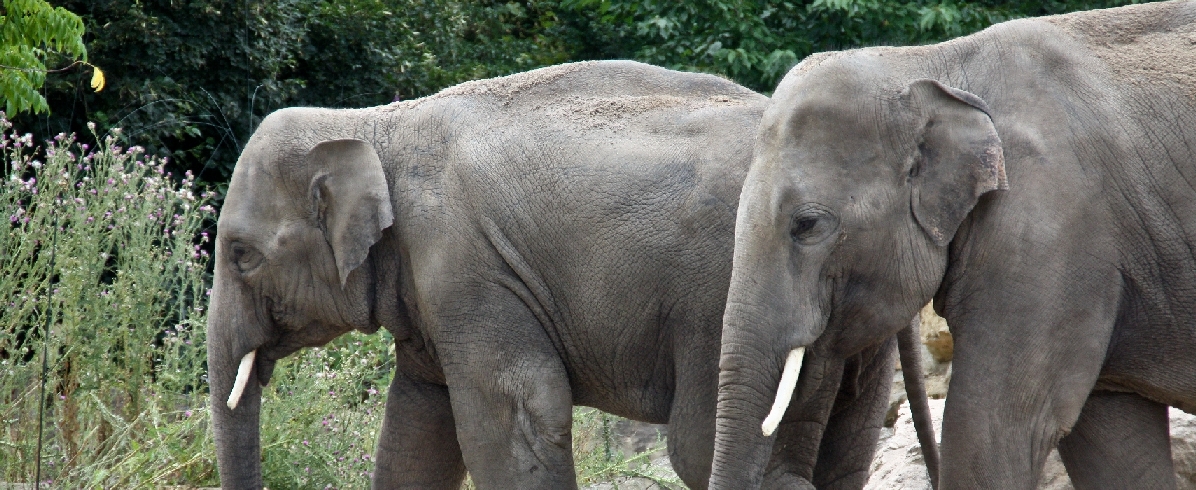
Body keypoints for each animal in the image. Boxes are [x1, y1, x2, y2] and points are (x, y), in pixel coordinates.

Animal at [208, 61, 932, 490]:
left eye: (241, 254)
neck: (372, 124)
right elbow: (418, 420)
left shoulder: (466, 264)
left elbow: (514, 409)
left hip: (724, 306)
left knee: (701, 447)